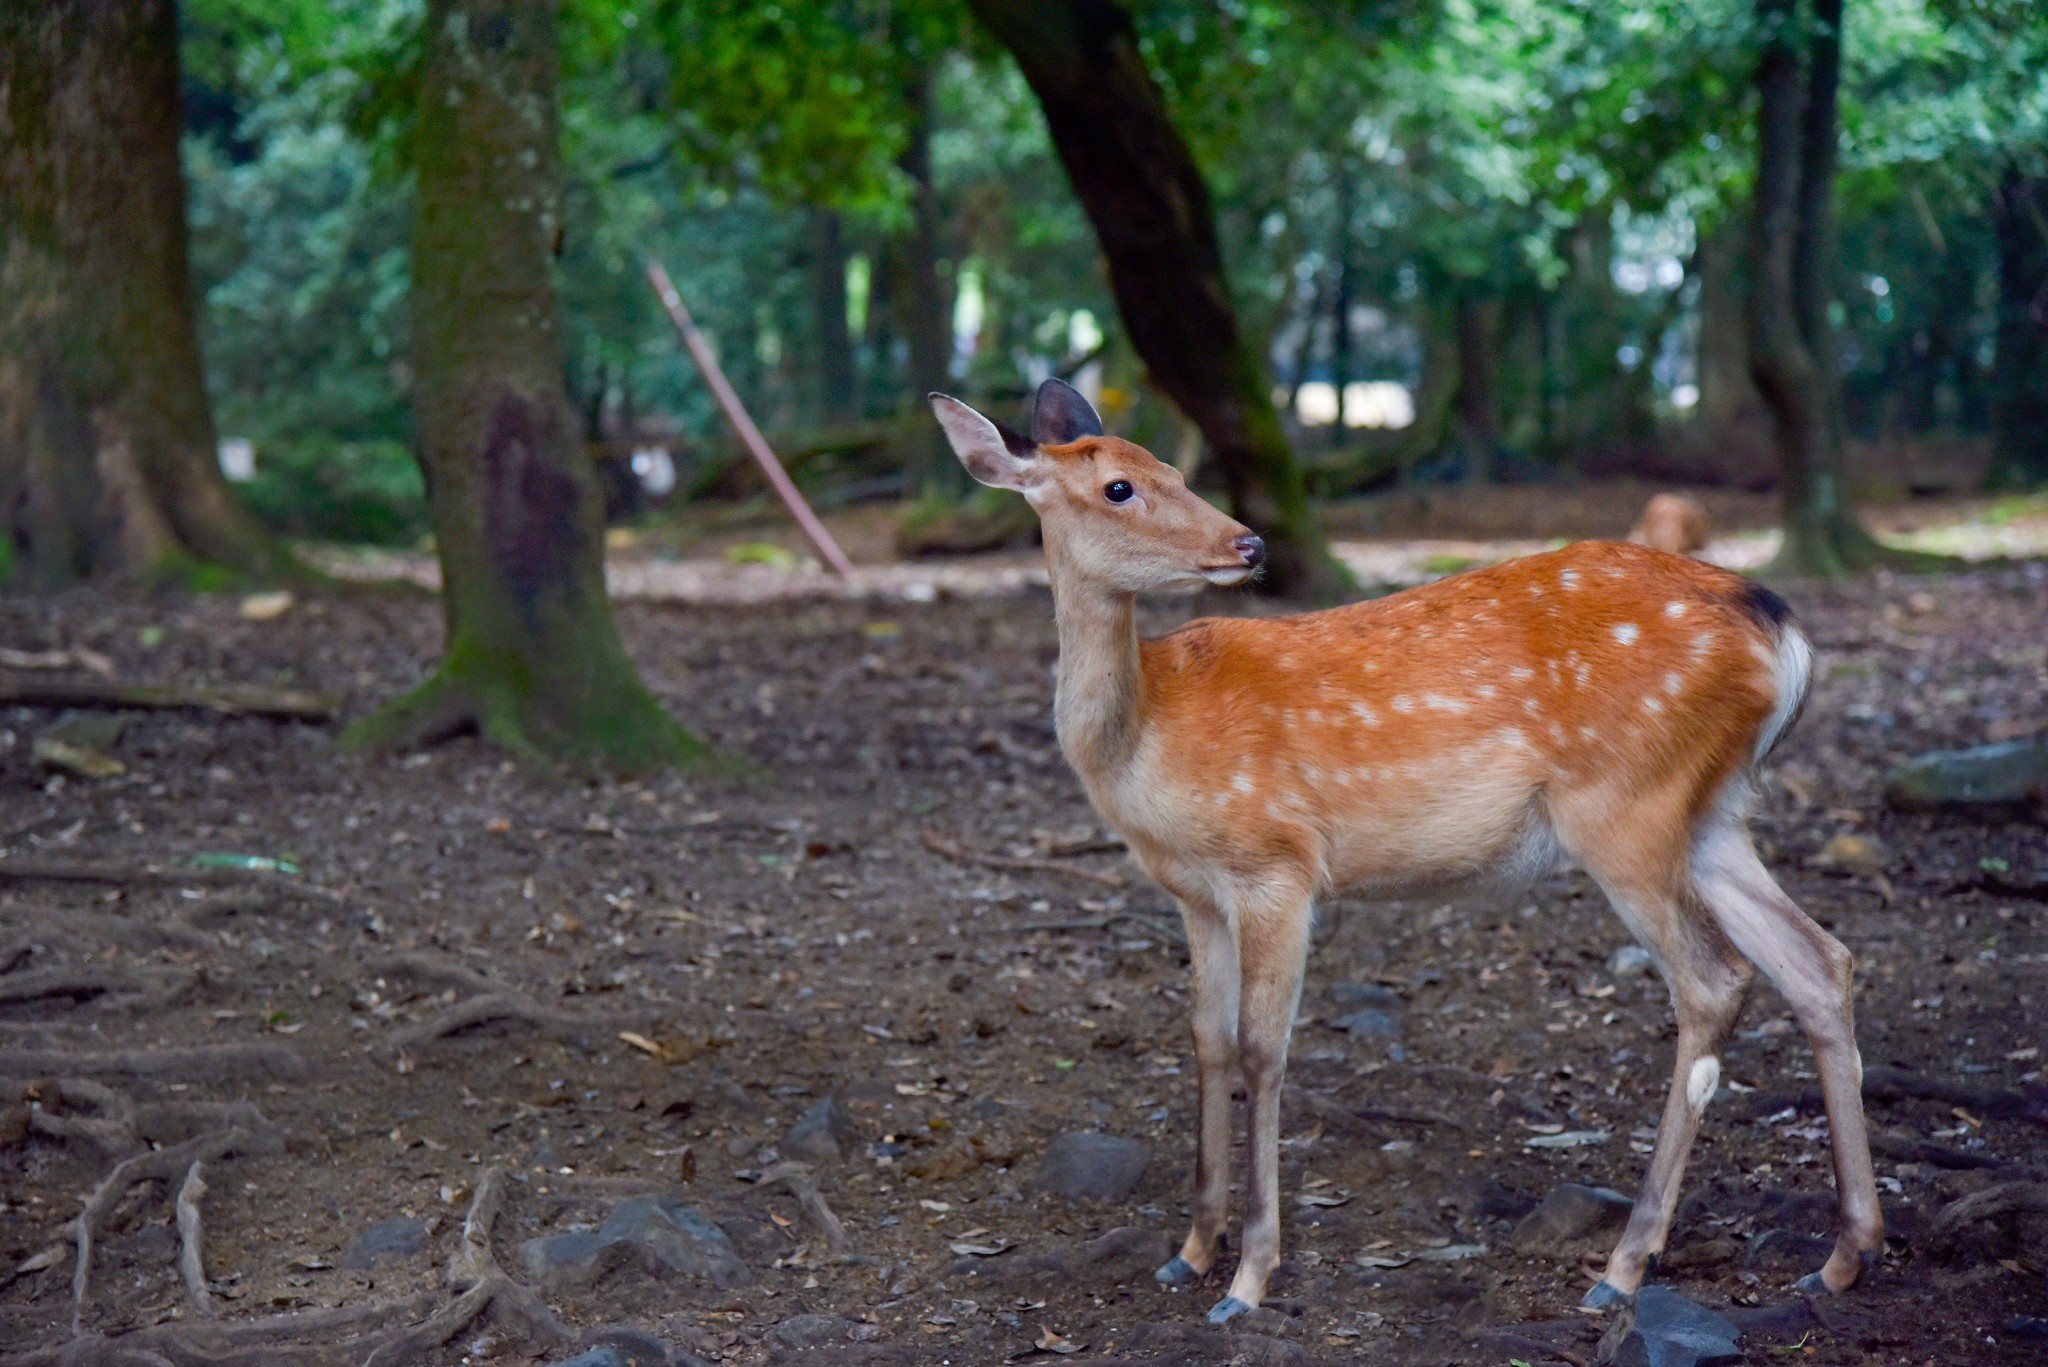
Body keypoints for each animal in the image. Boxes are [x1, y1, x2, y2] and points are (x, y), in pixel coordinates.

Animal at [933, 379, 1884, 1319]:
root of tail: (1784, 634)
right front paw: (1191, 1248)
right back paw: (1843, 1255)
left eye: (1173, 469)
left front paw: (1249, 1276)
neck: (1147, 742)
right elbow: (1205, 1037)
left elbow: (1262, 1049)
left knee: (1716, 978)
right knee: (1819, 958)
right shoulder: (1192, 890)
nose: (1248, 541)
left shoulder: (1276, 859)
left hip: (1626, 802)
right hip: (1711, 811)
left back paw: (1625, 1264)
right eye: (1121, 485)